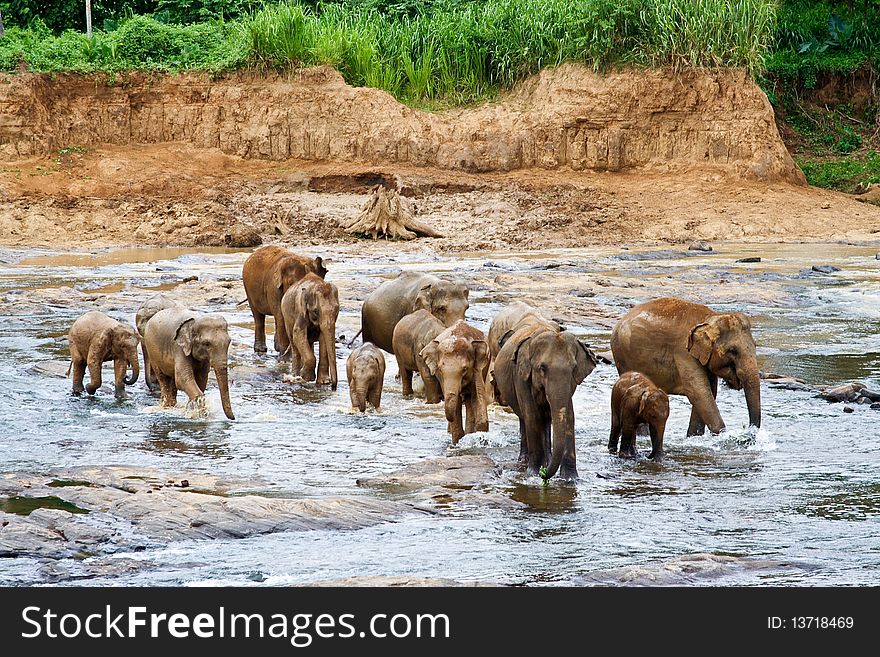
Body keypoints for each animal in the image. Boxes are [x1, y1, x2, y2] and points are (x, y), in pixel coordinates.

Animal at [496, 318, 600, 482]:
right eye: (542, 368)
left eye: (573, 368)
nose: (544, 474)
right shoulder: (520, 376)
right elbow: (532, 415)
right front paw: (534, 474)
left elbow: (569, 415)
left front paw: (571, 479)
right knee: (525, 418)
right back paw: (526, 460)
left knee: (546, 420)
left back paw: (548, 459)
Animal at [608, 298, 760, 436]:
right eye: (732, 351)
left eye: (755, 346)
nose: (749, 429)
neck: (710, 318)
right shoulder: (683, 352)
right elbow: (698, 391)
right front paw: (722, 435)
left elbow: (708, 391)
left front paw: (694, 436)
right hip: (622, 355)